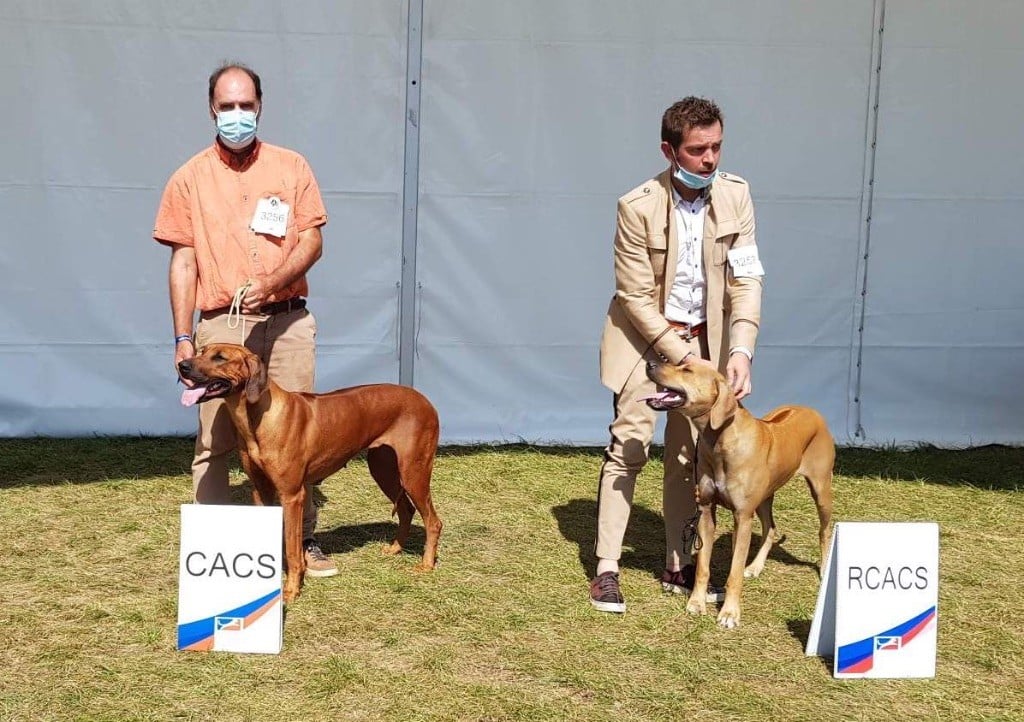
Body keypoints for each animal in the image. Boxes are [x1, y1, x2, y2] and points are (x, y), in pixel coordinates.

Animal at [178, 340, 442, 598]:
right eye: (201, 351)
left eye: (220, 357)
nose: (182, 365)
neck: (257, 417)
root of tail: (424, 399)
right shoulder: (261, 491)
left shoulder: (292, 495)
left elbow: (293, 547)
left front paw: (292, 589)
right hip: (383, 468)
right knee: (407, 510)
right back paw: (396, 548)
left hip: (413, 471)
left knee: (433, 521)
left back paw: (426, 564)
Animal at [647, 358, 831, 626]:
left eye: (687, 370)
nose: (650, 363)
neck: (720, 440)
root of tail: (810, 410)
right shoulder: (706, 510)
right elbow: (703, 566)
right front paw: (697, 602)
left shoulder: (742, 517)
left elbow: (734, 572)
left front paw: (729, 613)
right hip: (765, 497)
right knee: (770, 528)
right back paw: (754, 567)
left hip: (821, 489)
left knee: (824, 530)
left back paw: (826, 566)